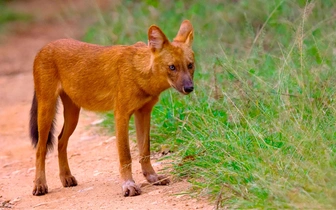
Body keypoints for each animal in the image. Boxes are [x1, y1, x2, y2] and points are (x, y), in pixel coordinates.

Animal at [30, 19, 196, 197]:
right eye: (172, 67)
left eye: (190, 65)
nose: (189, 88)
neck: (140, 73)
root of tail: (44, 47)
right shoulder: (121, 114)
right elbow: (125, 155)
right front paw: (129, 185)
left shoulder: (144, 112)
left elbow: (145, 150)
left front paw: (153, 178)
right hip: (47, 109)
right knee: (40, 148)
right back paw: (39, 185)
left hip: (73, 114)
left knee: (61, 140)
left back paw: (66, 177)